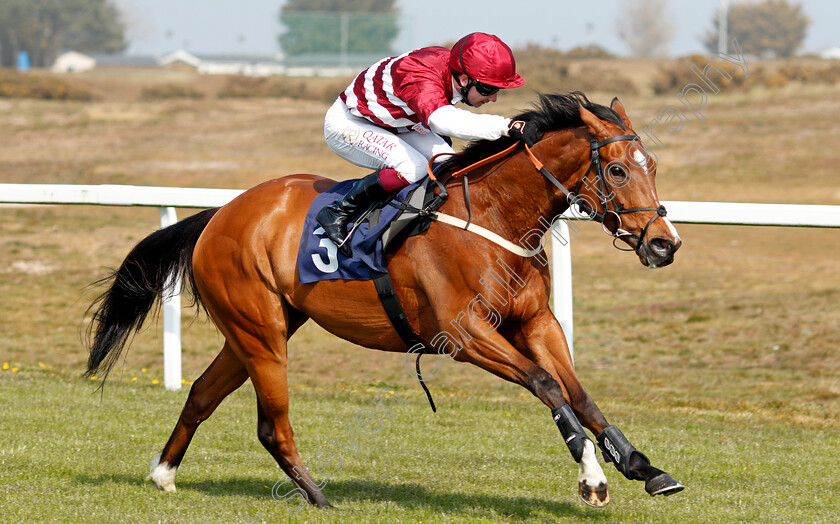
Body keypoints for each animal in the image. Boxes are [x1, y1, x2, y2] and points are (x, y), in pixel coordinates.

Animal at [87, 93, 684, 508]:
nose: (664, 243)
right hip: (261, 334)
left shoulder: (536, 322)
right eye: (616, 169)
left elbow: (579, 394)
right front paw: (593, 479)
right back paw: (319, 497)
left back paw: (164, 474)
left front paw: (644, 467)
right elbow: (546, 385)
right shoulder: (464, 334)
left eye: (652, 166)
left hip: (257, 329)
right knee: (271, 425)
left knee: (201, 395)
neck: (496, 217)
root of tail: (219, 215)